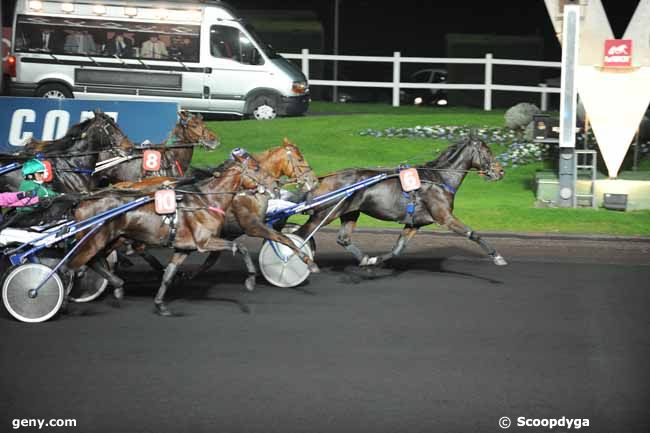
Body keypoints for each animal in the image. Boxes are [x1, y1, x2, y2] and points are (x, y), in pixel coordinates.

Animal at [294, 133, 506, 264]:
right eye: (488, 151)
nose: (500, 171)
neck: (439, 178)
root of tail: (323, 179)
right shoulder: (445, 217)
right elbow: (473, 233)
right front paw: (497, 256)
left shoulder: (415, 223)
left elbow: (398, 247)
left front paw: (376, 260)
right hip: (325, 214)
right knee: (300, 235)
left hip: (350, 212)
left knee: (343, 239)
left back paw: (364, 258)